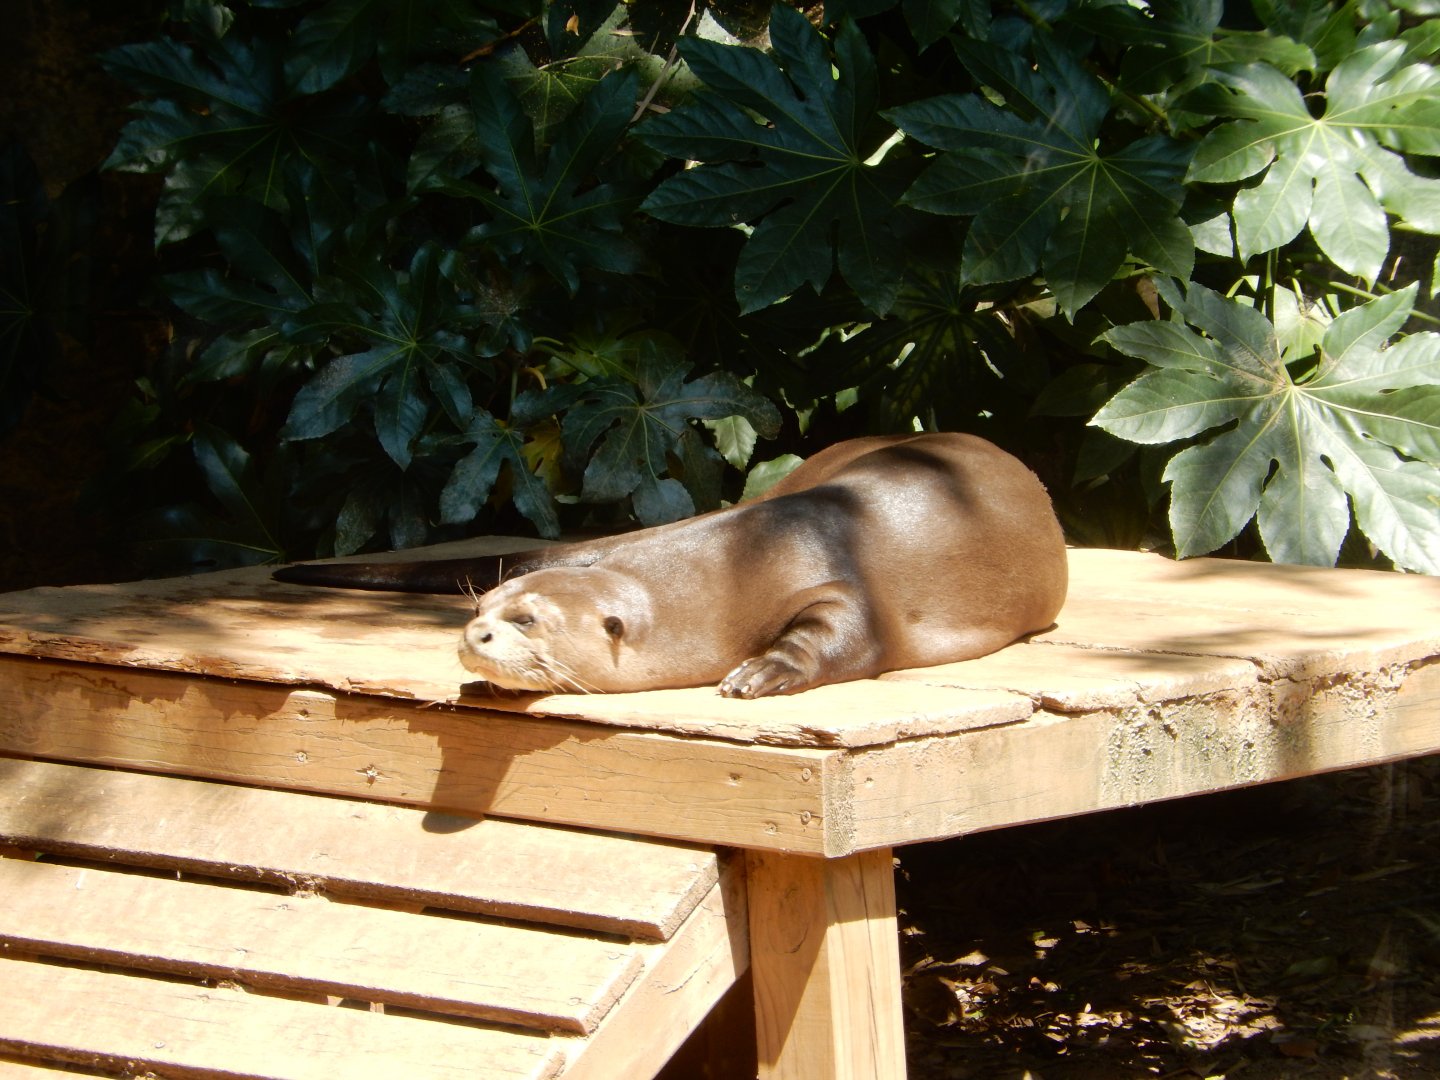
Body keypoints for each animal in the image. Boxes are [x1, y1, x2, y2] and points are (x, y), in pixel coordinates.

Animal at [273, 433, 1068, 698]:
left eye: (526, 619)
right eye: (479, 608)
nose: (474, 636)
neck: (727, 567)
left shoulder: (844, 581)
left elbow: (849, 634)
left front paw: (759, 673)